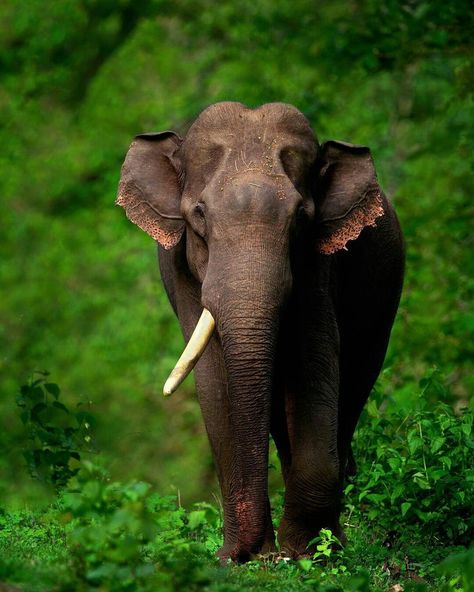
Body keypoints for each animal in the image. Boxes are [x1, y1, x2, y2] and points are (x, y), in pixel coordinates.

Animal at [116, 102, 406, 564]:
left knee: (353, 387)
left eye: (302, 218)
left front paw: (304, 552)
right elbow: (214, 380)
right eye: (200, 214)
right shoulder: (180, 275)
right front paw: (242, 556)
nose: (248, 553)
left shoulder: (318, 268)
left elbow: (313, 366)